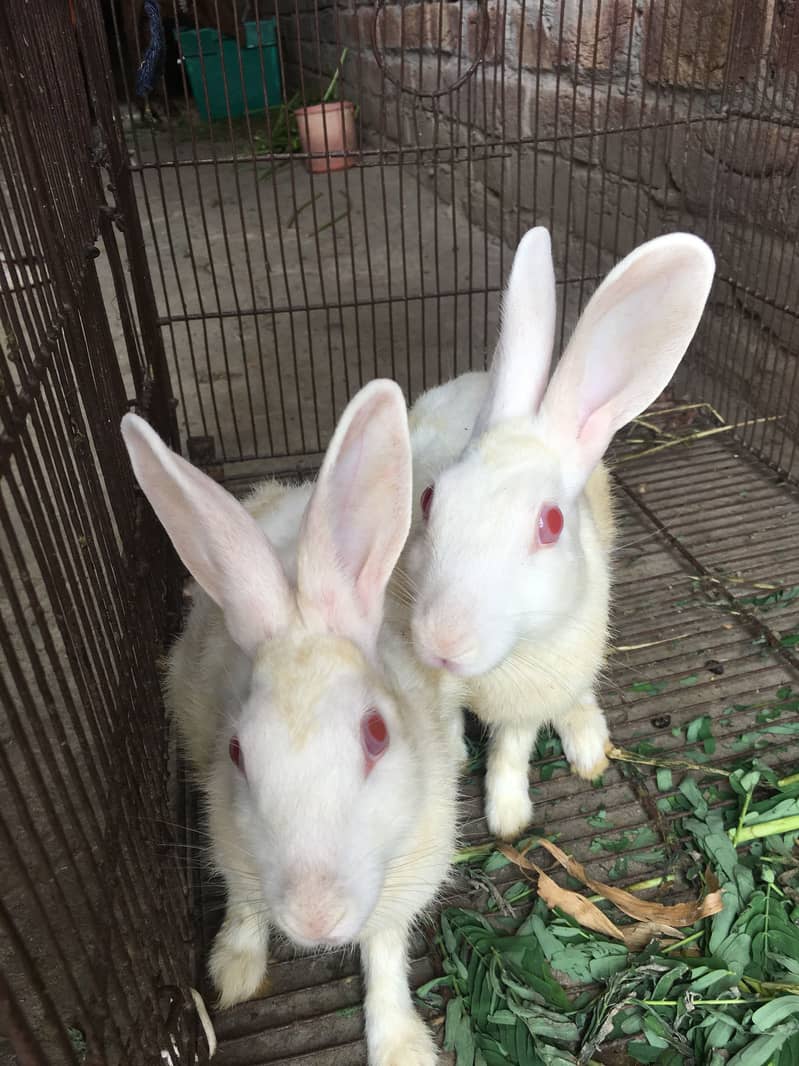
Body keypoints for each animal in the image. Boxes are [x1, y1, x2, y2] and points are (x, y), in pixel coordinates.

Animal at [121, 379, 466, 1066]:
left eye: (377, 736)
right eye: (237, 752)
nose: (314, 916)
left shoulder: (409, 875)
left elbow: (385, 954)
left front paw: (402, 1046)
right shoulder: (229, 841)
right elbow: (245, 907)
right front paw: (233, 972)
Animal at [404, 228, 715, 840]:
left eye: (550, 525)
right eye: (429, 499)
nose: (442, 641)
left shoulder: (530, 699)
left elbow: (511, 751)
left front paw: (507, 819)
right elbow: (447, 725)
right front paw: (454, 760)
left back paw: (588, 742)